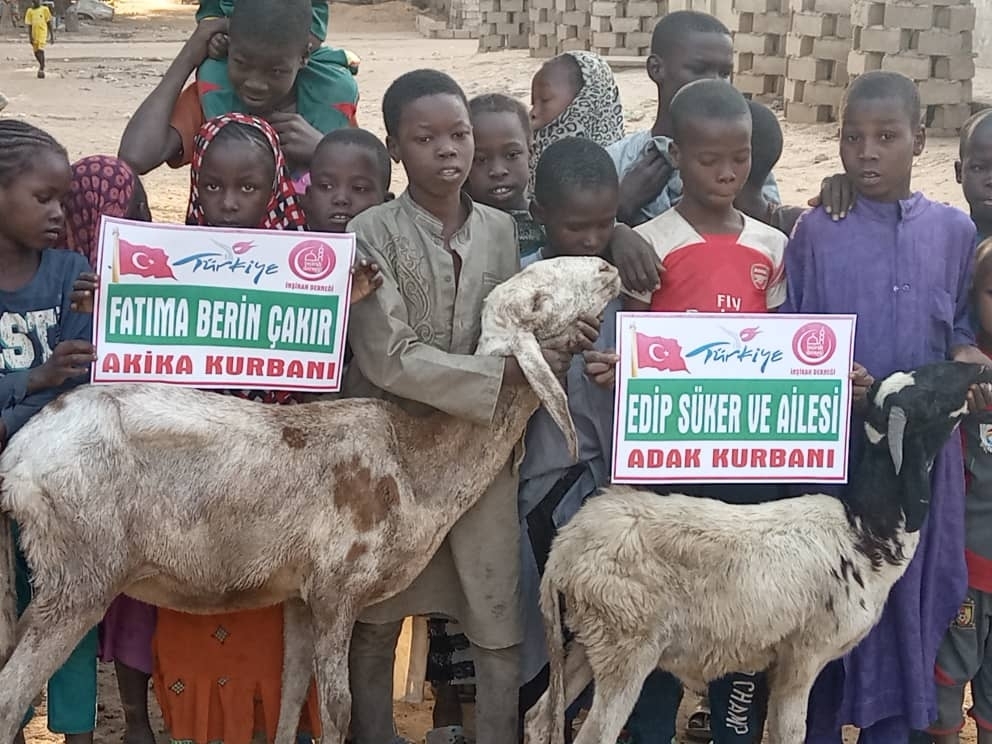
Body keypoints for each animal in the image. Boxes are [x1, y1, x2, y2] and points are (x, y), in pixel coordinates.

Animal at [0, 256, 621, 744]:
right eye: (538, 296)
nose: (607, 267)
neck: (417, 464)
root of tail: (19, 459)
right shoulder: (336, 589)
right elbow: (339, 710)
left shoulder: (299, 597)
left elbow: (292, 697)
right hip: (81, 577)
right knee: (10, 697)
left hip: (51, 580)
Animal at [524, 360, 992, 744]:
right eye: (929, 398)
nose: (976, 368)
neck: (862, 531)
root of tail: (564, 550)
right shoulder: (803, 655)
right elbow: (791, 732)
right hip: (625, 644)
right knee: (594, 734)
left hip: (586, 638)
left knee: (538, 718)